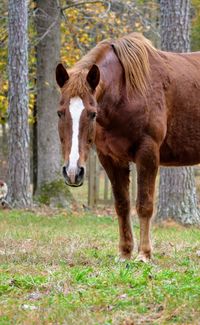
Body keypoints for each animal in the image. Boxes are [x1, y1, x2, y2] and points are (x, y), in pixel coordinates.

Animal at [55, 33, 200, 260]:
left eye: (92, 113)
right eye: (60, 112)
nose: (73, 172)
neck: (125, 93)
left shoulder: (147, 153)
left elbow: (144, 205)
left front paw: (144, 254)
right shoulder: (110, 158)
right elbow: (122, 205)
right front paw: (124, 252)